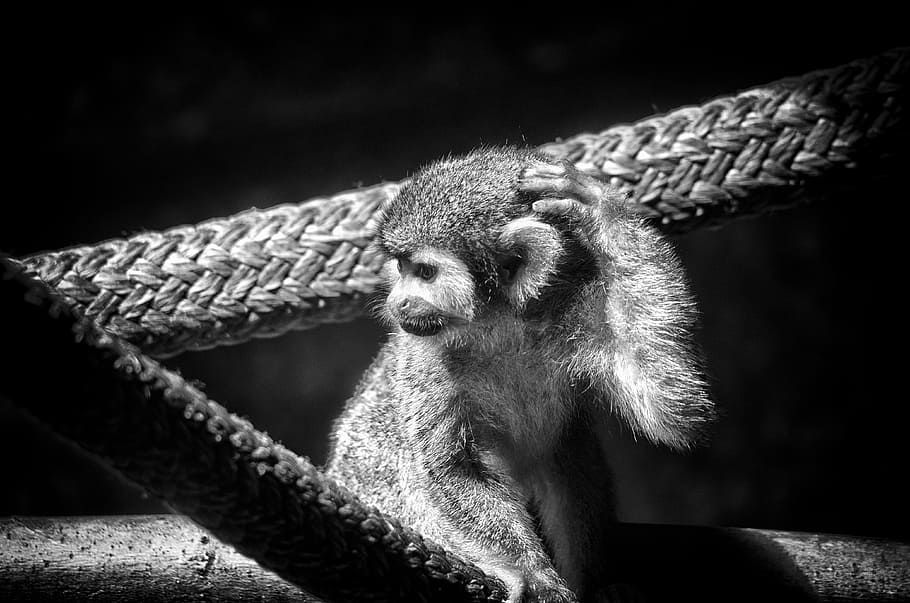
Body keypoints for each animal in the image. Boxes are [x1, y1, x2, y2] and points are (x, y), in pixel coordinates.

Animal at [325, 146, 714, 602]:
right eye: (400, 268)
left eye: (424, 272)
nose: (398, 301)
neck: (500, 327)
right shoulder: (425, 355)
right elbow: (451, 468)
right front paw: (532, 574)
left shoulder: (577, 307)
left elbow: (671, 405)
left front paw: (599, 207)